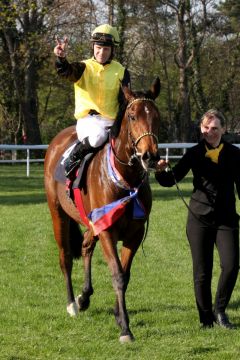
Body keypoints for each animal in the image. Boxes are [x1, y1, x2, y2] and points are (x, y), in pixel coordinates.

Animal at [44, 77, 161, 342]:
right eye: (132, 116)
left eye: (156, 116)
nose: (150, 156)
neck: (123, 178)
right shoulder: (107, 230)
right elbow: (117, 274)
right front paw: (125, 328)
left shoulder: (134, 233)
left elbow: (125, 275)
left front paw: (119, 316)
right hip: (58, 214)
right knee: (65, 257)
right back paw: (72, 303)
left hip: (91, 221)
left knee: (86, 246)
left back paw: (84, 297)